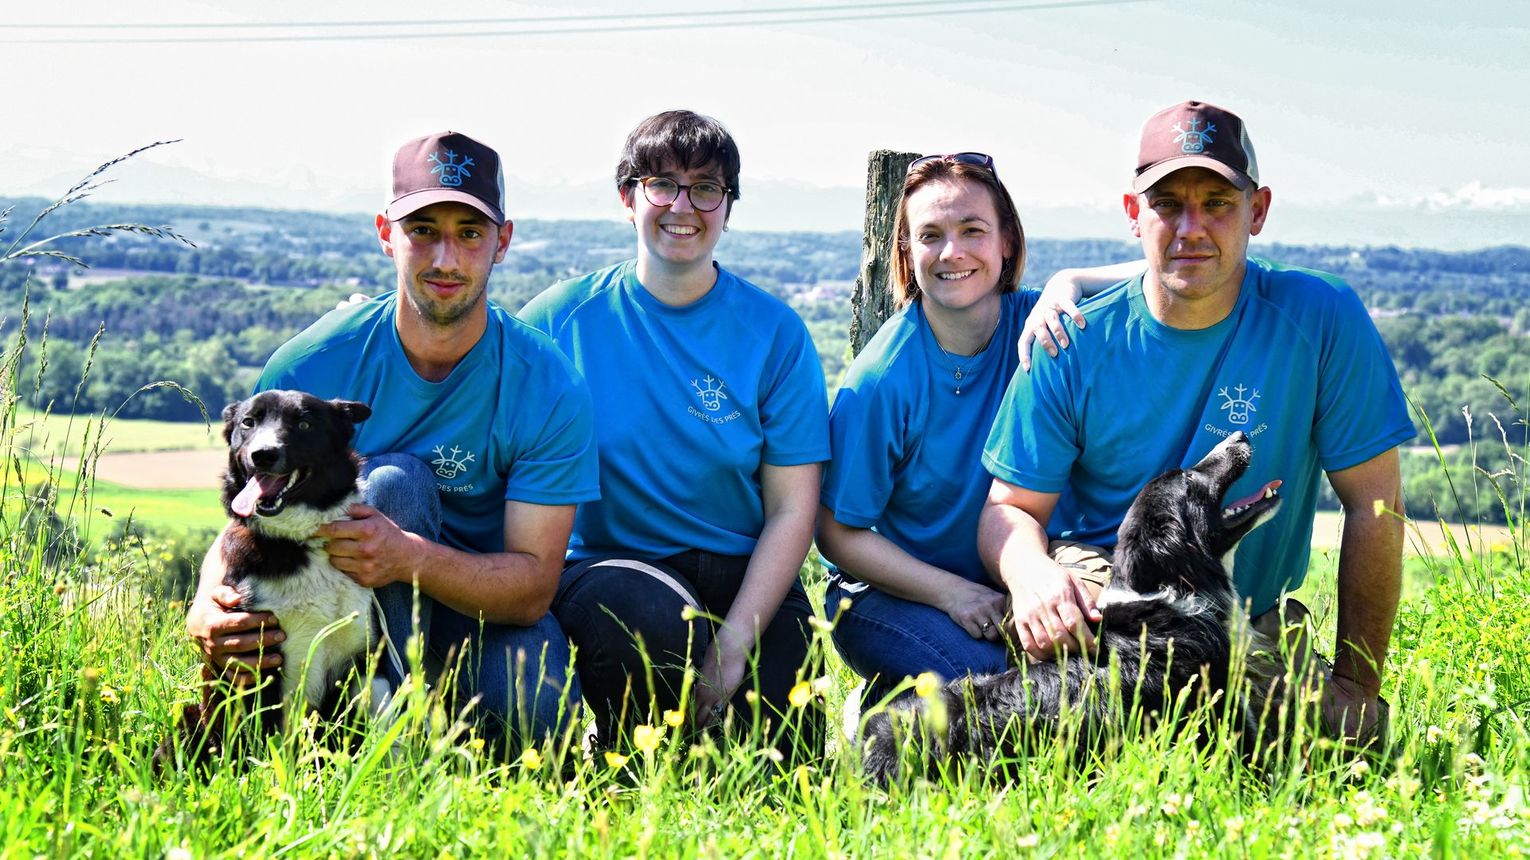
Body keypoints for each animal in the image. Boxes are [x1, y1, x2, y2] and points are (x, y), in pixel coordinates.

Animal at [172, 388, 388, 755]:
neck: (299, 540)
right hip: (192, 722)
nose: (263, 455)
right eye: (248, 422)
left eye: (304, 424)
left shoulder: (358, 662)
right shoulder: (257, 663)